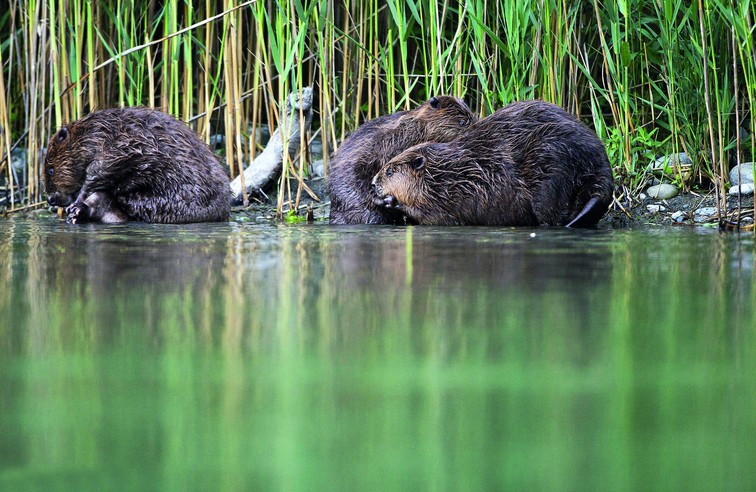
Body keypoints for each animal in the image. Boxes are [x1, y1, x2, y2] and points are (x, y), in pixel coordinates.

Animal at [41, 107, 229, 225]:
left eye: (51, 170)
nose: (51, 199)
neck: (90, 134)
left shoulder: (117, 147)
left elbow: (98, 172)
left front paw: (75, 203)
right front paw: (74, 208)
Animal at [372, 100, 616, 227]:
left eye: (390, 171)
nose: (374, 183)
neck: (448, 172)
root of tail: (602, 173)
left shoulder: (449, 199)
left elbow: (435, 217)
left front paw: (389, 201)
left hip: (552, 172)